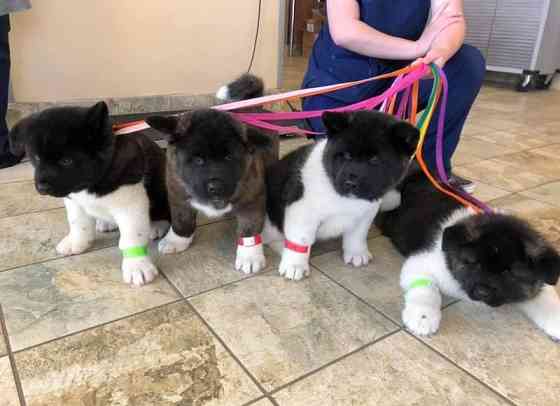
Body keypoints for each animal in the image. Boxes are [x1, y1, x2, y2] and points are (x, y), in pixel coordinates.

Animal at [9, 101, 171, 286]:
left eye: (66, 161)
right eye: (36, 158)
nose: (41, 188)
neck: (91, 181)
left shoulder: (131, 205)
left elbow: (131, 236)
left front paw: (137, 265)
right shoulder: (74, 200)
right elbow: (78, 224)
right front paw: (77, 242)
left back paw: (156, 225)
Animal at [144, 76, 276, 272]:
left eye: (229, 157)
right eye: (198, 160)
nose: (216, 186)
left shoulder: (252, 199)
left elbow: (249, 229)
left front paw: (250, 256)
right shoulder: (178, 194)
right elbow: (182, 220)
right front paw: (177, 240)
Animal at [264, 111, 418, 282]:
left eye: (374, 160)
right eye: (346, 156)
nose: (350, 182)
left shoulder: (366, 212)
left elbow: (358, 234)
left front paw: (357, 253)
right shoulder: (301, 209)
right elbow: (300, 238)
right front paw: (294, 265)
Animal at [376, 171, 560, 340]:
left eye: (509, 273)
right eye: (474, 262)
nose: (482, 292)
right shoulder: (419, 263)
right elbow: (427, 289)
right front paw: (423, 318)